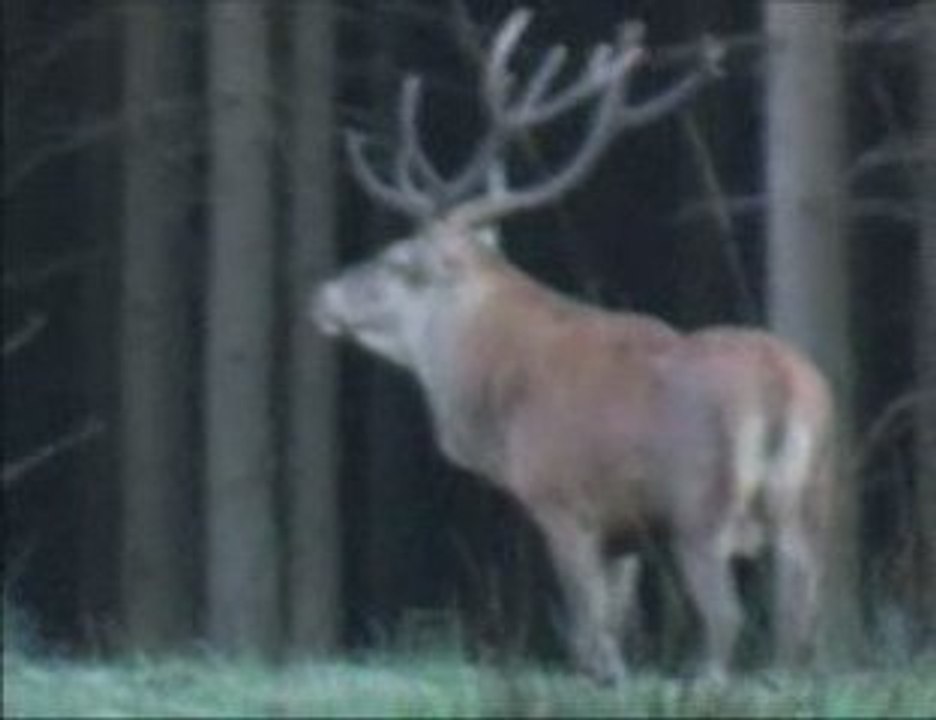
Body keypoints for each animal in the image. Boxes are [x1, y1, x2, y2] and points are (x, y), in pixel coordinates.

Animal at [312, 8, 837, 684]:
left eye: (397, 260)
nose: (322, 295)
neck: (496, 406)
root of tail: (782, 385)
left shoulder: (562, 501)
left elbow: (591, 634)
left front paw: (605, 677)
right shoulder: (624, 531)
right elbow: (615, 622)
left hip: (700, 511)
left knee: (727, 618)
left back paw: (706, 680)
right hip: (810, 505)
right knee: (803, 614)